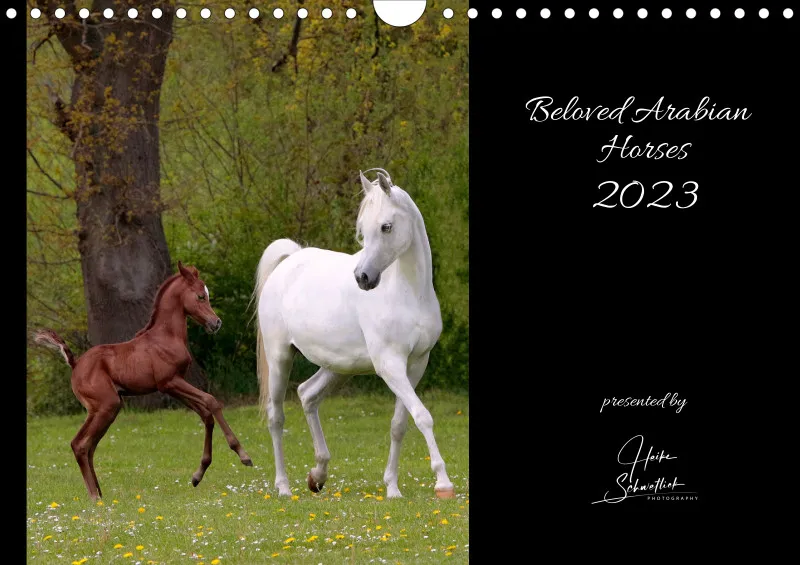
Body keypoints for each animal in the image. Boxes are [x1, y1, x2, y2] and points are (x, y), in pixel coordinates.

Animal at [33, 262, 253, 500]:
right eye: (200, 296)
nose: (216, 323)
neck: (166, 336)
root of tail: (75, 363)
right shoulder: (169, 382)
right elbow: (212, 401)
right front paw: (243, 454)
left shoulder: (173, 386)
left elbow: (205, 414)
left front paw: (197, 475)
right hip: (106, 405)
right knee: (80, 444)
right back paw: (94, 496)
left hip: (106, 408)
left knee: (88, 445)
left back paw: (100, 494)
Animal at [252, 169, 455, 499]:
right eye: (362, 230)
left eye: (386, 226)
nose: (363, 278)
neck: (408, 293)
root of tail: (291, 261)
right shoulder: (390, 365)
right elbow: (423, 416)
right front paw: (443, 483)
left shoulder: (415, 365)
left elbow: (400, 424)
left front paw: (392, 487)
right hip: (280, 358)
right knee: (276, 416)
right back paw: (283, 486)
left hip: (338, 367)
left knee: (307, 394)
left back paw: (318, 475)